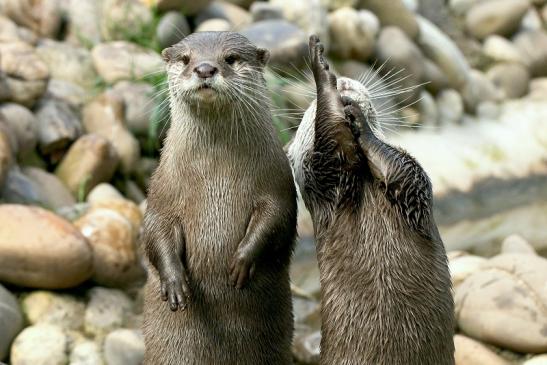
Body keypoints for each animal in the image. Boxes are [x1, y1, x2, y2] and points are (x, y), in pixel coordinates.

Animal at [140, 32, 296, 364]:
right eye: (186, 58)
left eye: (231, 58)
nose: (205, 69)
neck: (215, 175)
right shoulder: (162, 189)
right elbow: (155, 230)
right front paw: (175, 283)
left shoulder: (277, 182)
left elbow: (277, 218)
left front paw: (241, 261)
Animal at [288, 36, 456, 364]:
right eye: (307, 113)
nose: (342, 80)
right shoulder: (325, 177)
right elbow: (332, 139)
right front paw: (322, 75)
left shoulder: (414, 186)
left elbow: (400, 169)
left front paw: (357, 119)